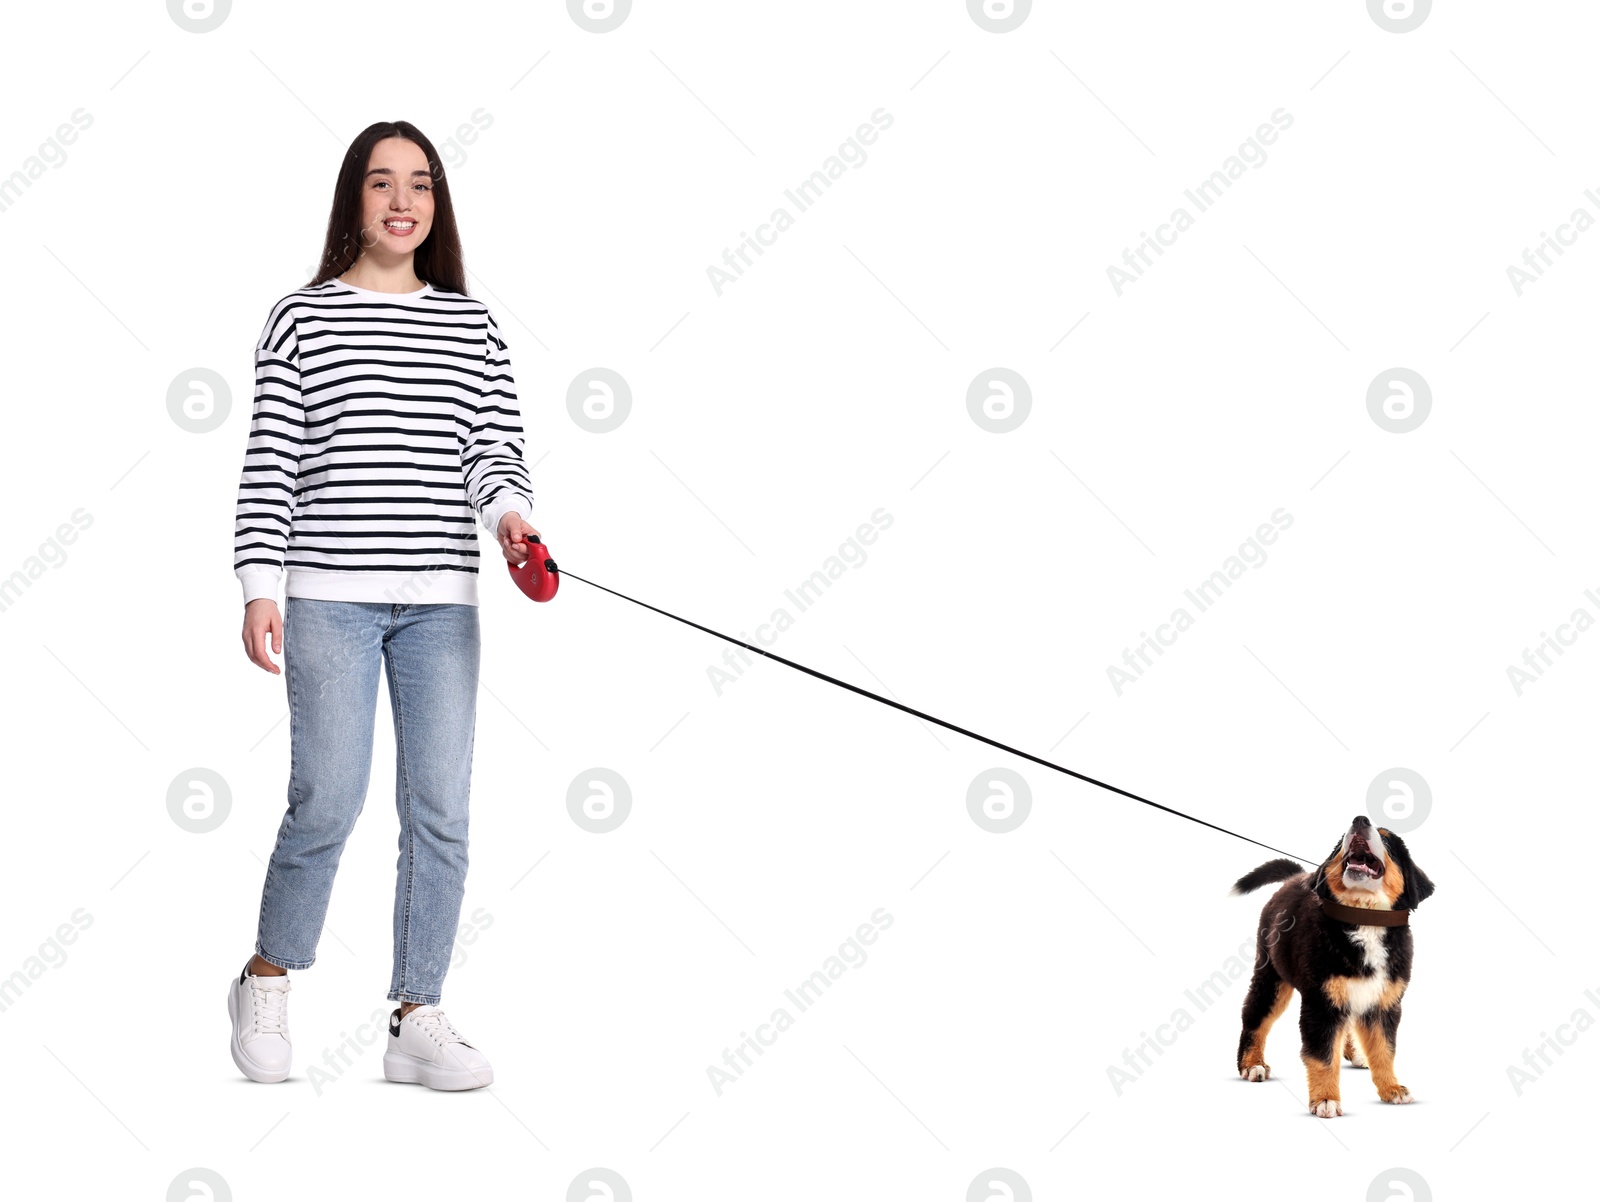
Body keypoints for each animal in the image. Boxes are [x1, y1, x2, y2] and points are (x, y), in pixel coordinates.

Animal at [1228, 819, 1433, 1120]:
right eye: (1339, 845)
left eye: (1386, 841)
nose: (1360, 820)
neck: (1365, 919)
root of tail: (1295, 878)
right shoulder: (1320, 1003)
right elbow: (1323, 1056)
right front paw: (1325, 1099)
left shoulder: (1384, 1004)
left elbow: (1384, 1051)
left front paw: (1391, 1088)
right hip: (1271, 977)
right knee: (1254, 1017)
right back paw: (1251, 1064)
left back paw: (1356, 1054)